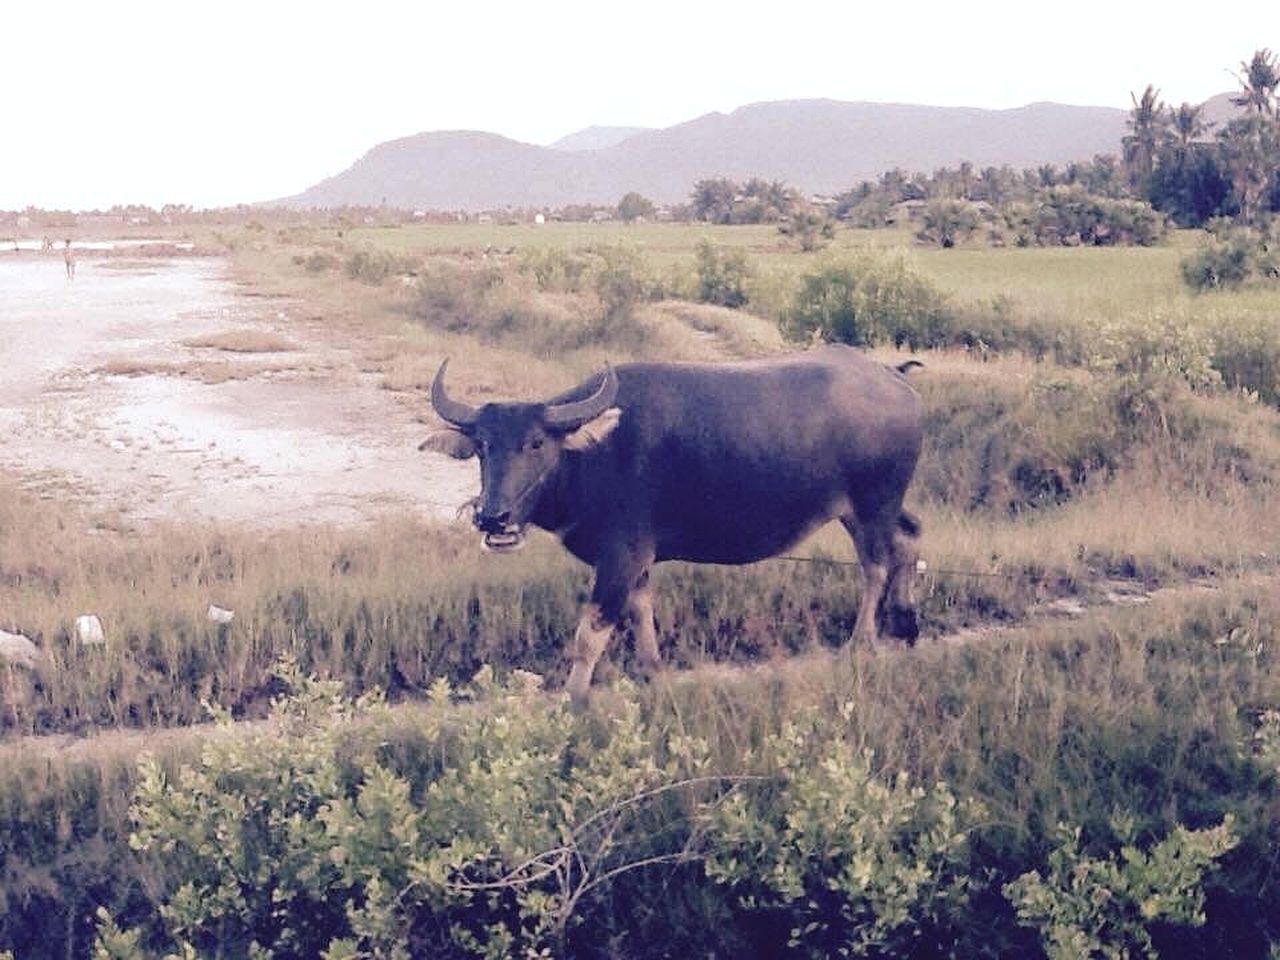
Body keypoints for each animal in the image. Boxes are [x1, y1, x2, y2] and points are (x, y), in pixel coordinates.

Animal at [424, 350, 926, 711]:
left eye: (536, 443)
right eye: (483, 446)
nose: (494, 518)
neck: (594, 457)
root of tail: (892, 376)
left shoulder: (620, 557)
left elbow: (590, 633)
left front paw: (574, 698)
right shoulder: (638, 562)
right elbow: (641, 611)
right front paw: (653, 669)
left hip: (873, 503)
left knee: (876, 566)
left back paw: (861, 643)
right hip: (866, 510)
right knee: (909, 540)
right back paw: (905, 621)